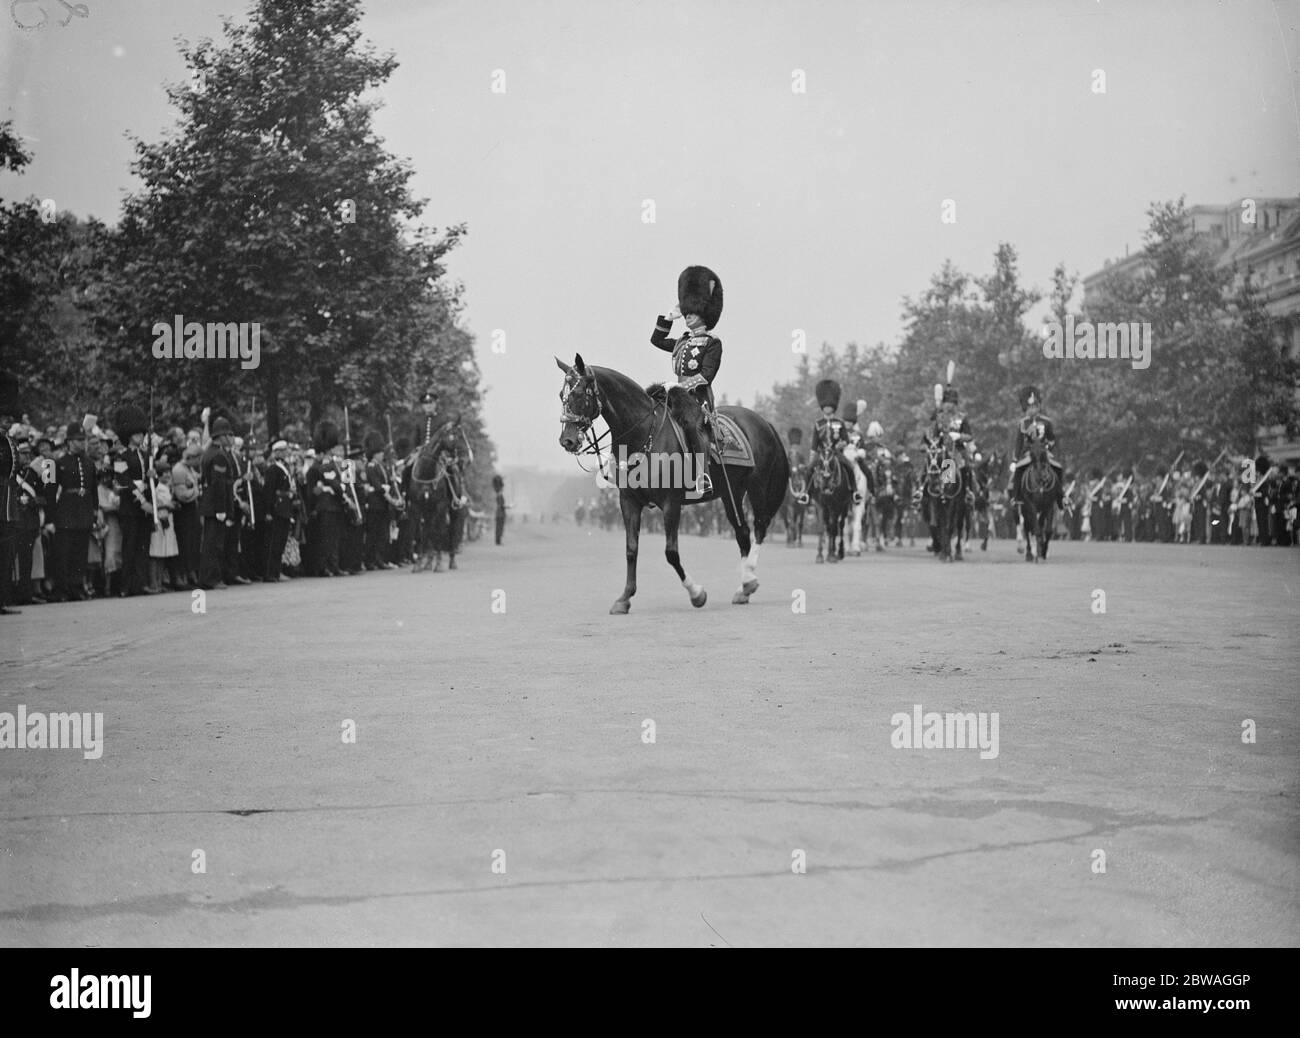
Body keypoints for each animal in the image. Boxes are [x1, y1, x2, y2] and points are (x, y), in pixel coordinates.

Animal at [556, 359, 785, 619]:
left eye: (580, 393)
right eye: (562, 395)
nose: (567, 440)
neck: (643, 433)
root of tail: (763, 421)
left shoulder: (671, 503)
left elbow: (671, 552)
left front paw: (697, 594)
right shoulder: (629, 501)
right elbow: (631, 549)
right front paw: (624, 598)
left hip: (757, 485)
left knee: (759, 527)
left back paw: (750, 579)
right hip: (732, 492)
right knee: (742, 533)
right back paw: (744, 587)